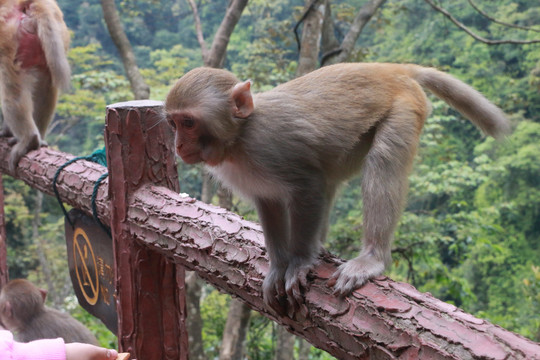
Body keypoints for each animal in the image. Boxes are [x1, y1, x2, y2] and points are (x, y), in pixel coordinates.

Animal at [165, 63, 510, 314]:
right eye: (173, 123)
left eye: (189, 123)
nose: (178, 145)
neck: (239, 137)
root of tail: (389, 68)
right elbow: (270, 202)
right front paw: (278, 266)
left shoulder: (271, 147)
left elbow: (309, 187)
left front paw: (299, 262)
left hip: (405, 105)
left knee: (382, 161)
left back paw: (371, 257)